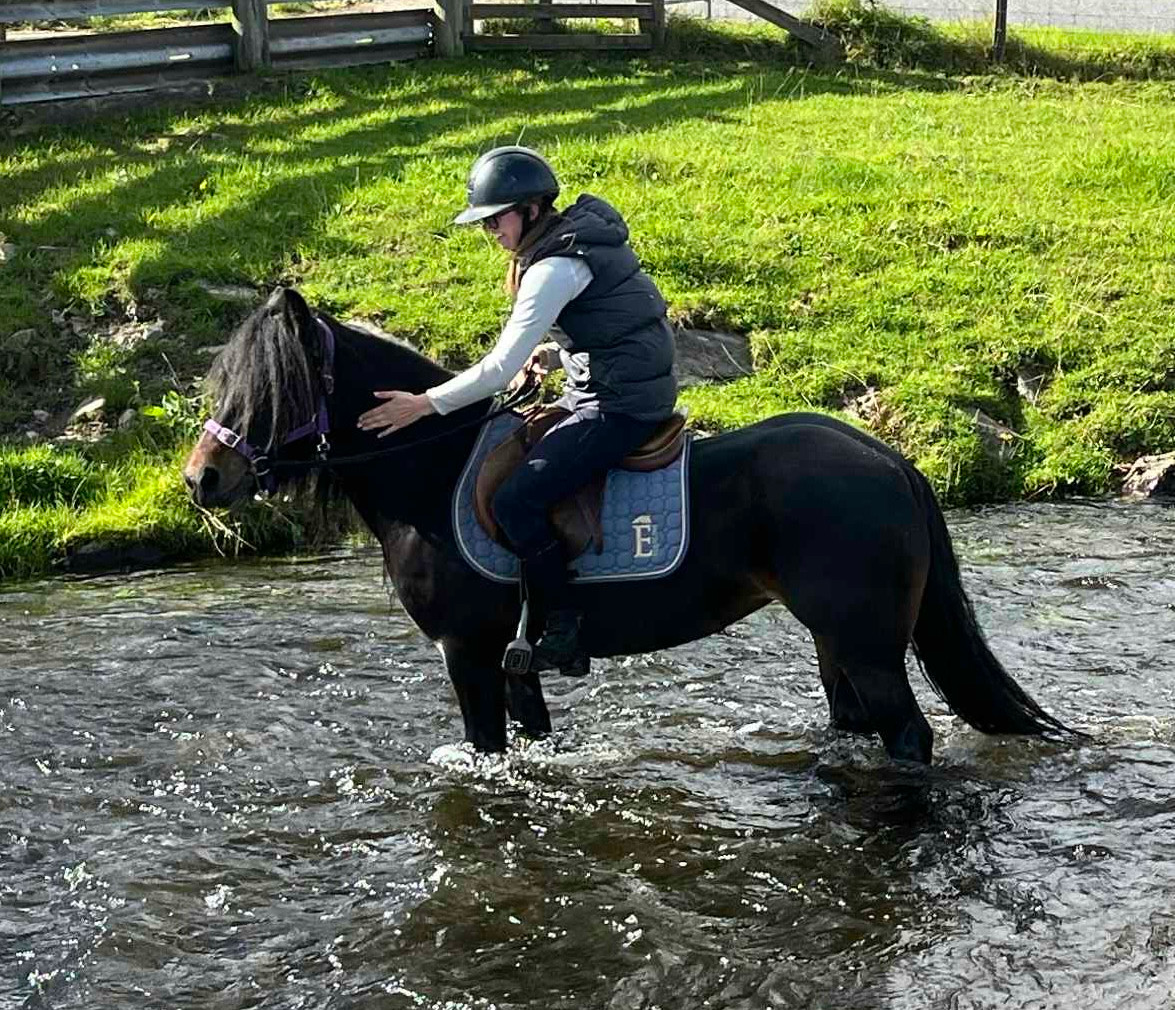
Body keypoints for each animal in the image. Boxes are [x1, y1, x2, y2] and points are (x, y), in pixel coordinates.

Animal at [183, 287, 1071, 764]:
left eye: (270, 389)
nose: (202, 479)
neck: (432, 476)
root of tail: (889, 460)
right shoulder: (515, 660)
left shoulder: (466, 653)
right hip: (835, 642)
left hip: (867, 642)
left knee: (908, 735)